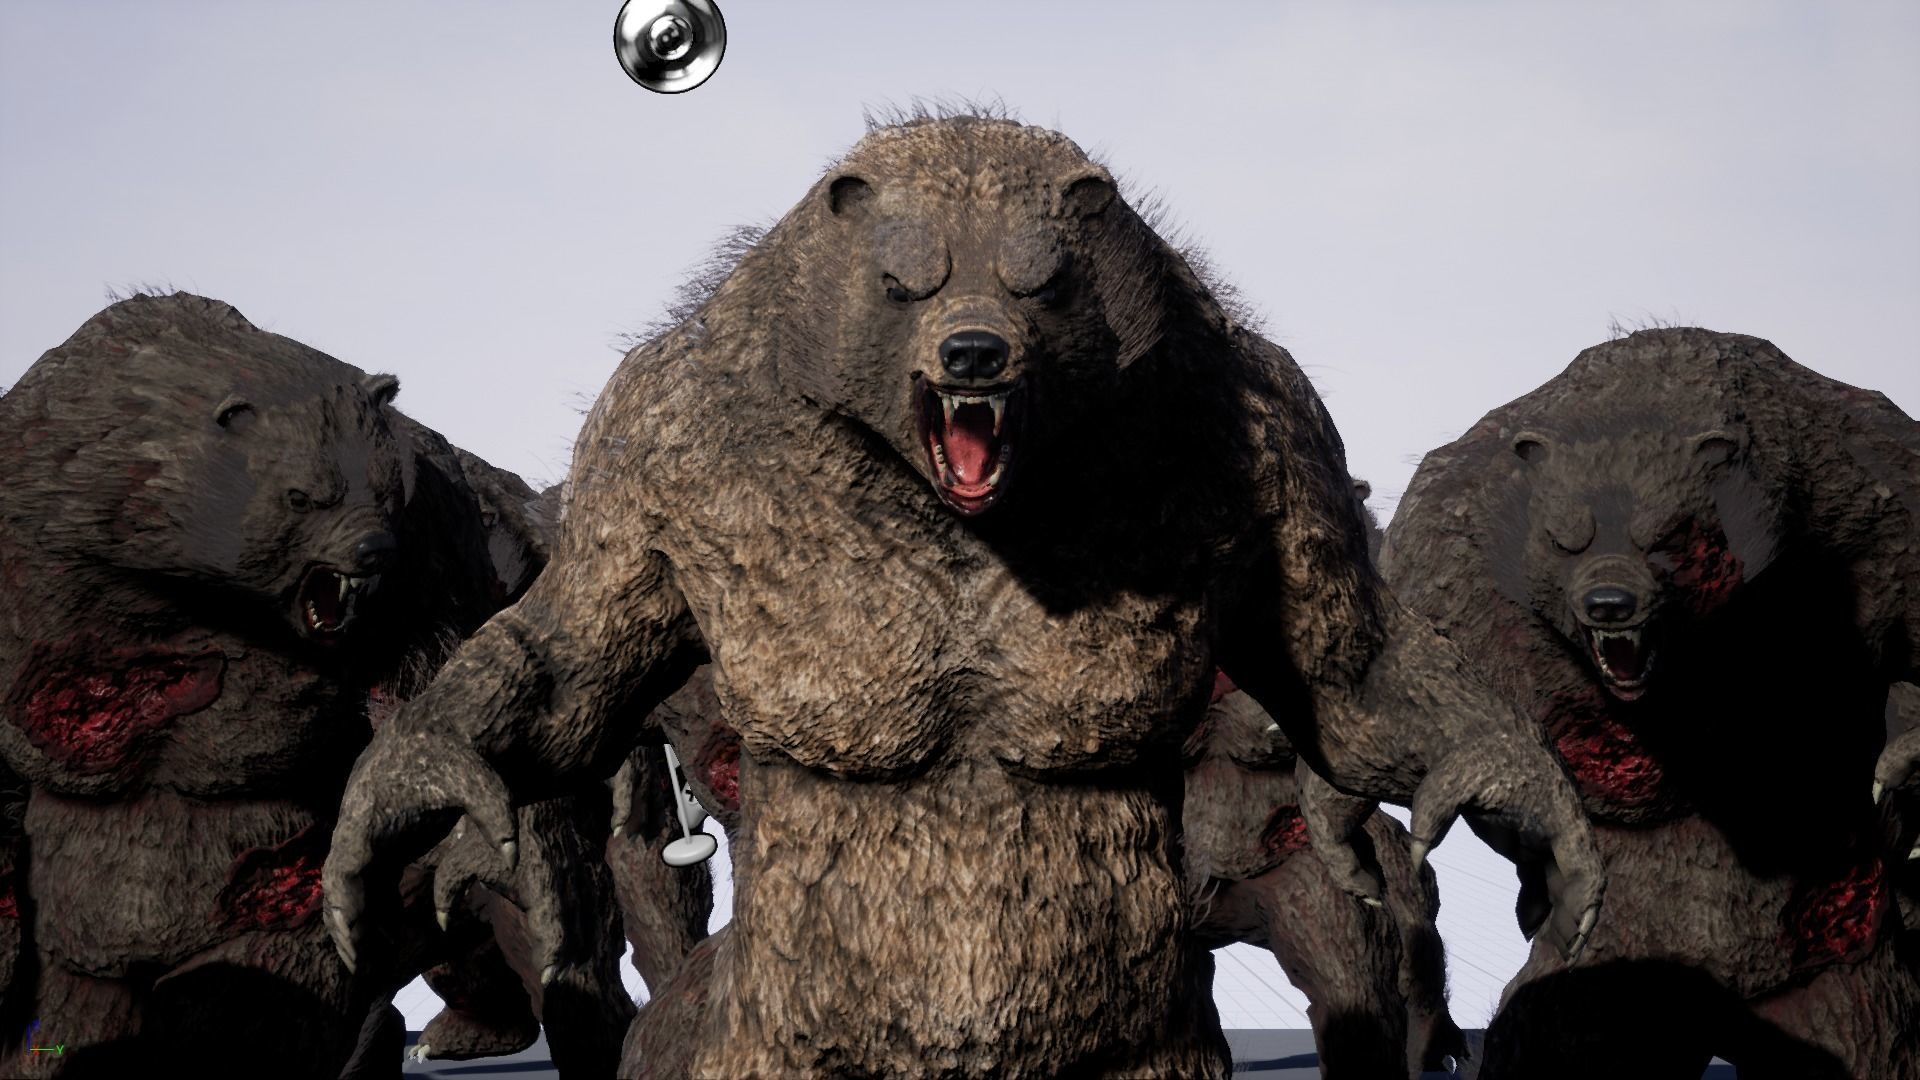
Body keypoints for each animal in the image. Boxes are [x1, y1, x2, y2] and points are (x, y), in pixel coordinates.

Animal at [324, 109, 1606, 1079]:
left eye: (1038, 284)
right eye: (910, 280)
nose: (974, 351)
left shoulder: (1279, 432)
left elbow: (1346, 675)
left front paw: (1517, 791)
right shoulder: (646, 442)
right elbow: (576, 659)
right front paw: (411, 785)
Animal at [1378, 327, 1920, 1078]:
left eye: (1667, 538)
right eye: (1566, 539)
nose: (1610, 600)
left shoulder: (1870, 497)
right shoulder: (1447, 561)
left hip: (1838, 961)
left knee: (1861, 1034)